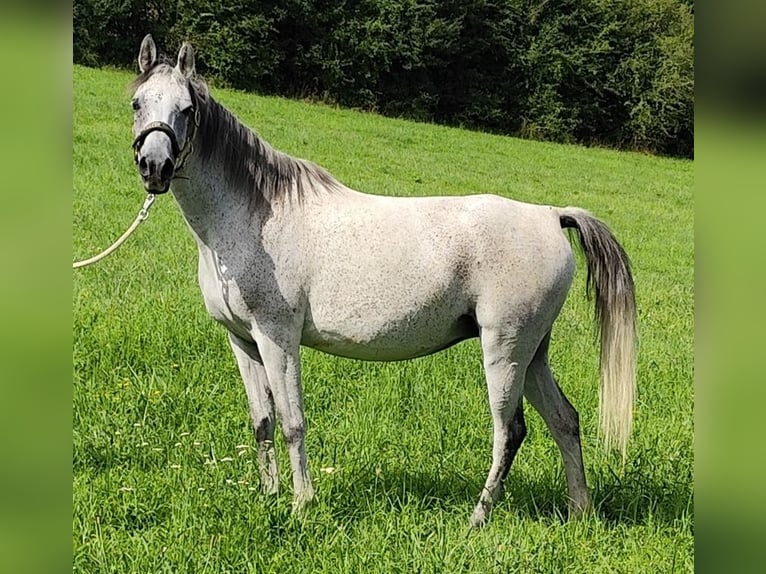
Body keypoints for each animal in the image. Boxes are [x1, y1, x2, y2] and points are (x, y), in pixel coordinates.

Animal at [130, 36, 636, 528]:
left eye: (187, 109)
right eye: (137, 103)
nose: (154, 166)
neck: (254, 215)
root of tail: (549, 216)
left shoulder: (277, 339)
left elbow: (293, 422)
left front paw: (300, 505)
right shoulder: (242, 340)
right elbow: (263, 422)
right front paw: (269, 495)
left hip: (505, 350)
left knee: (510, 432)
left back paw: (477, 519)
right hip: (533, 353)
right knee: (565, 420)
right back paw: (579, 511)